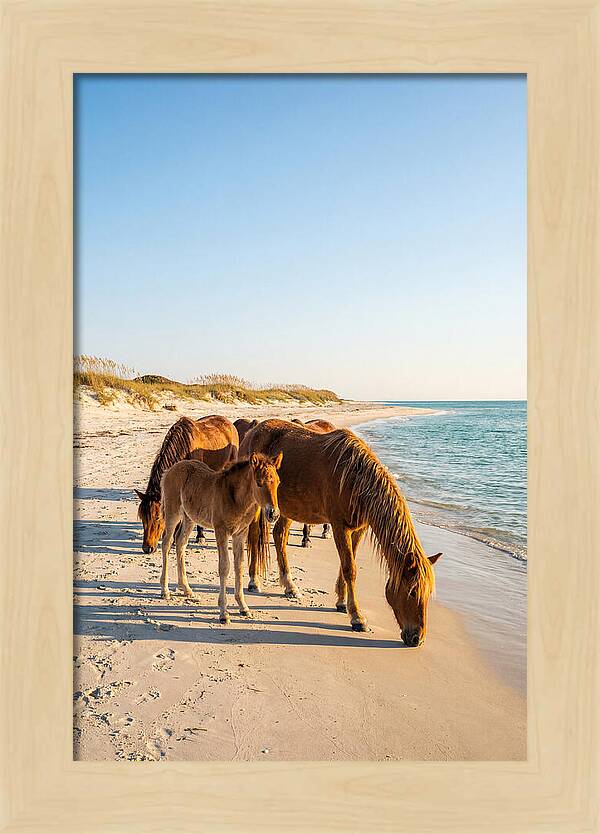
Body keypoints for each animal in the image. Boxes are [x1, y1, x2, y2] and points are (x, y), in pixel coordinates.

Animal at [135, 415, 238, 553]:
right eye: (142, 517)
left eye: (157, 517)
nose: (147, 548)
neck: (184, 447)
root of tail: (229, 423)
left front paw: (200, 536)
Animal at [160, 452, 283, 622]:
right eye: (259, 483)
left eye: (278, 482)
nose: (274, 514)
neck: (236, 498)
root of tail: (170, 470)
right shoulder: (221, 531)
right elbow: (224, 567)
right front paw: (224, 612)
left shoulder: (240, 534)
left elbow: (239, 566)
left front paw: (243, 607)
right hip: (173, 513)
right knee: (166, 543)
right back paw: (165, 590)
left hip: (189, 517)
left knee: (180, 543)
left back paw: (186, 588)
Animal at [241, 419, 442, 646]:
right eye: (413, 591)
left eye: (427, 593)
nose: (417, 638)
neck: (355, 478)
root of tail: (253, 431)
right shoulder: (339, 526)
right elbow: (350, 569)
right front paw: (357, 618)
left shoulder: (358, 529)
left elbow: (347, 563)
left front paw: (341, 602)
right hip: (259, 504)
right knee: (254, 536)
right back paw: (254, 581)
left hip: (287, 508)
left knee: (279, 536)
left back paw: (290, 586)